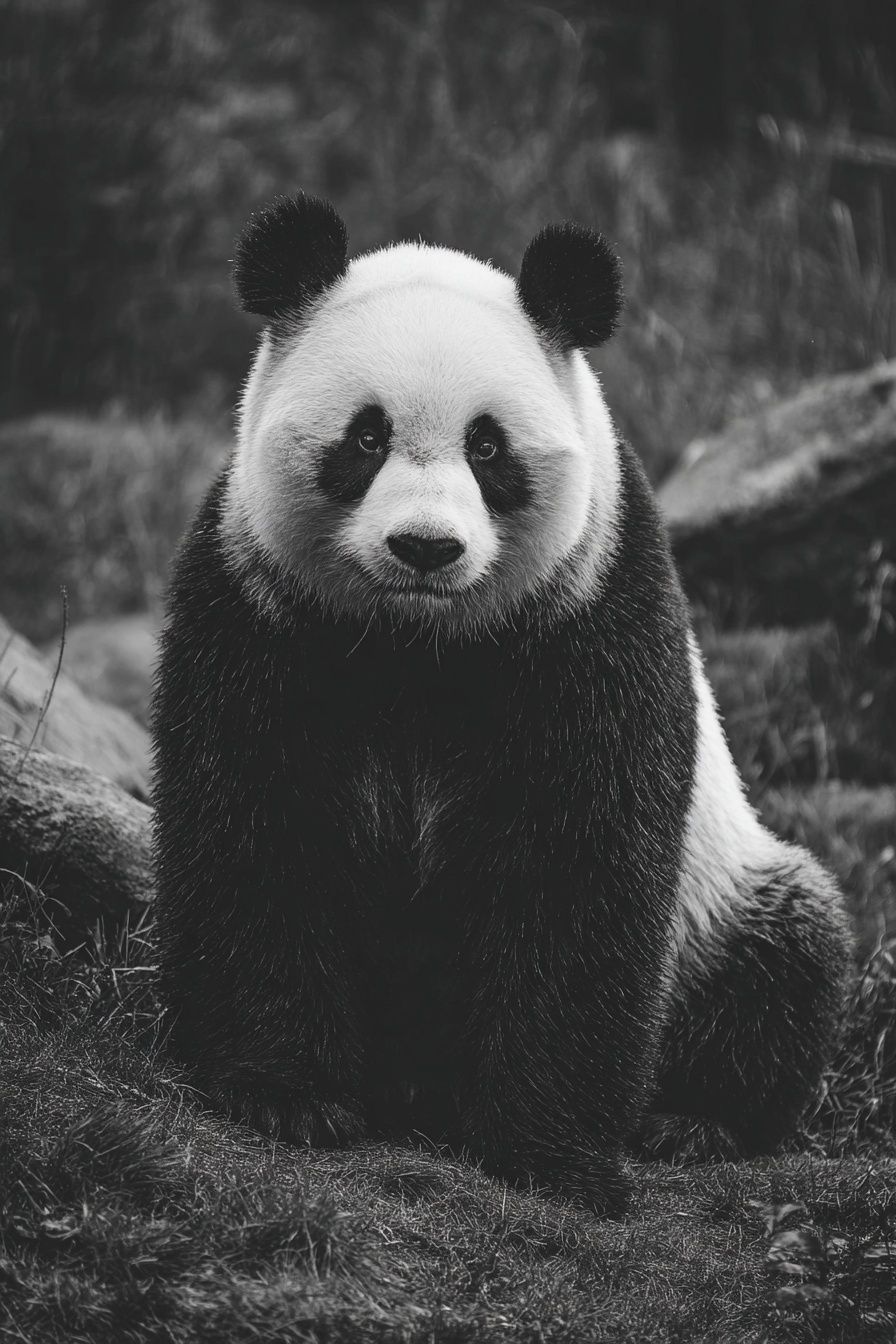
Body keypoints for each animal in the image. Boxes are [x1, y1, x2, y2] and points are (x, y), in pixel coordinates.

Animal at [152, 194, 852, 1216]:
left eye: (489, 448)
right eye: (366, 438)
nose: (424, 547)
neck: (413, 645)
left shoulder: (590, 612)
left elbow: (576, 866)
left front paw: (547, 1155)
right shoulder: (257, 603)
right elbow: (257, 826)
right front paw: (290, 1097)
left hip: (724, 897)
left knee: (786, 960)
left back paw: (693, 1122)